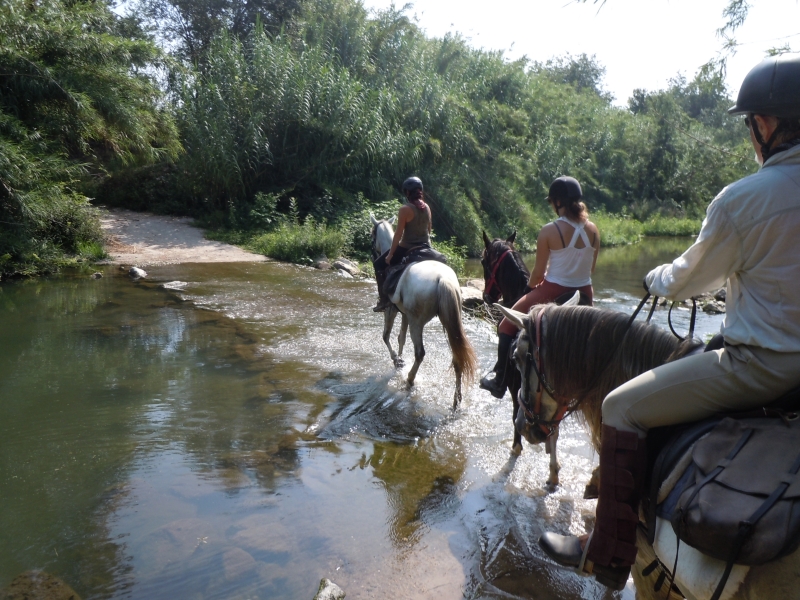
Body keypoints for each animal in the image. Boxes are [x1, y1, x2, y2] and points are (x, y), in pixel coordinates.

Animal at [368, 216, 476, 408]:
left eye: (372, 236)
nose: (374, 252)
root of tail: (443, 279)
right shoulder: (405, 314)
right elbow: (401, 338)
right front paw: (400, 359)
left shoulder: (391, 310)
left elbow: (386, 335)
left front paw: (397, 360)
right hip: (449, 321)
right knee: (457, 357)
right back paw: (456, 400)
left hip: (417, 322)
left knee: (419, 353)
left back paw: (410, 380)